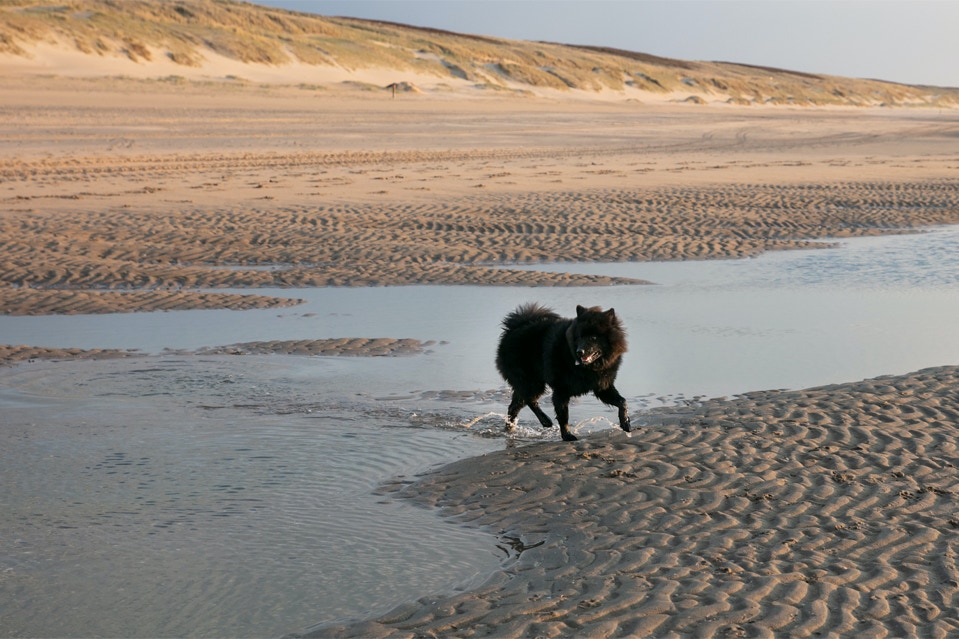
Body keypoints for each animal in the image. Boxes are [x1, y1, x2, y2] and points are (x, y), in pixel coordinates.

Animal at [495, 303, 630, 441]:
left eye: (594, 337)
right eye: (580, 336)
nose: (580, 352)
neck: (588, 368)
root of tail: (514, 327)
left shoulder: (602, 387)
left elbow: (622, 402)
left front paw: (625, 422)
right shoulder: (561, 390)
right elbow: (563, 416)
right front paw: (567, 435)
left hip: (528, 383)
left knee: (514, 407)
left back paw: (510, 428)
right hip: (532, 383)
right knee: (529, 400)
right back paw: (545, 420)